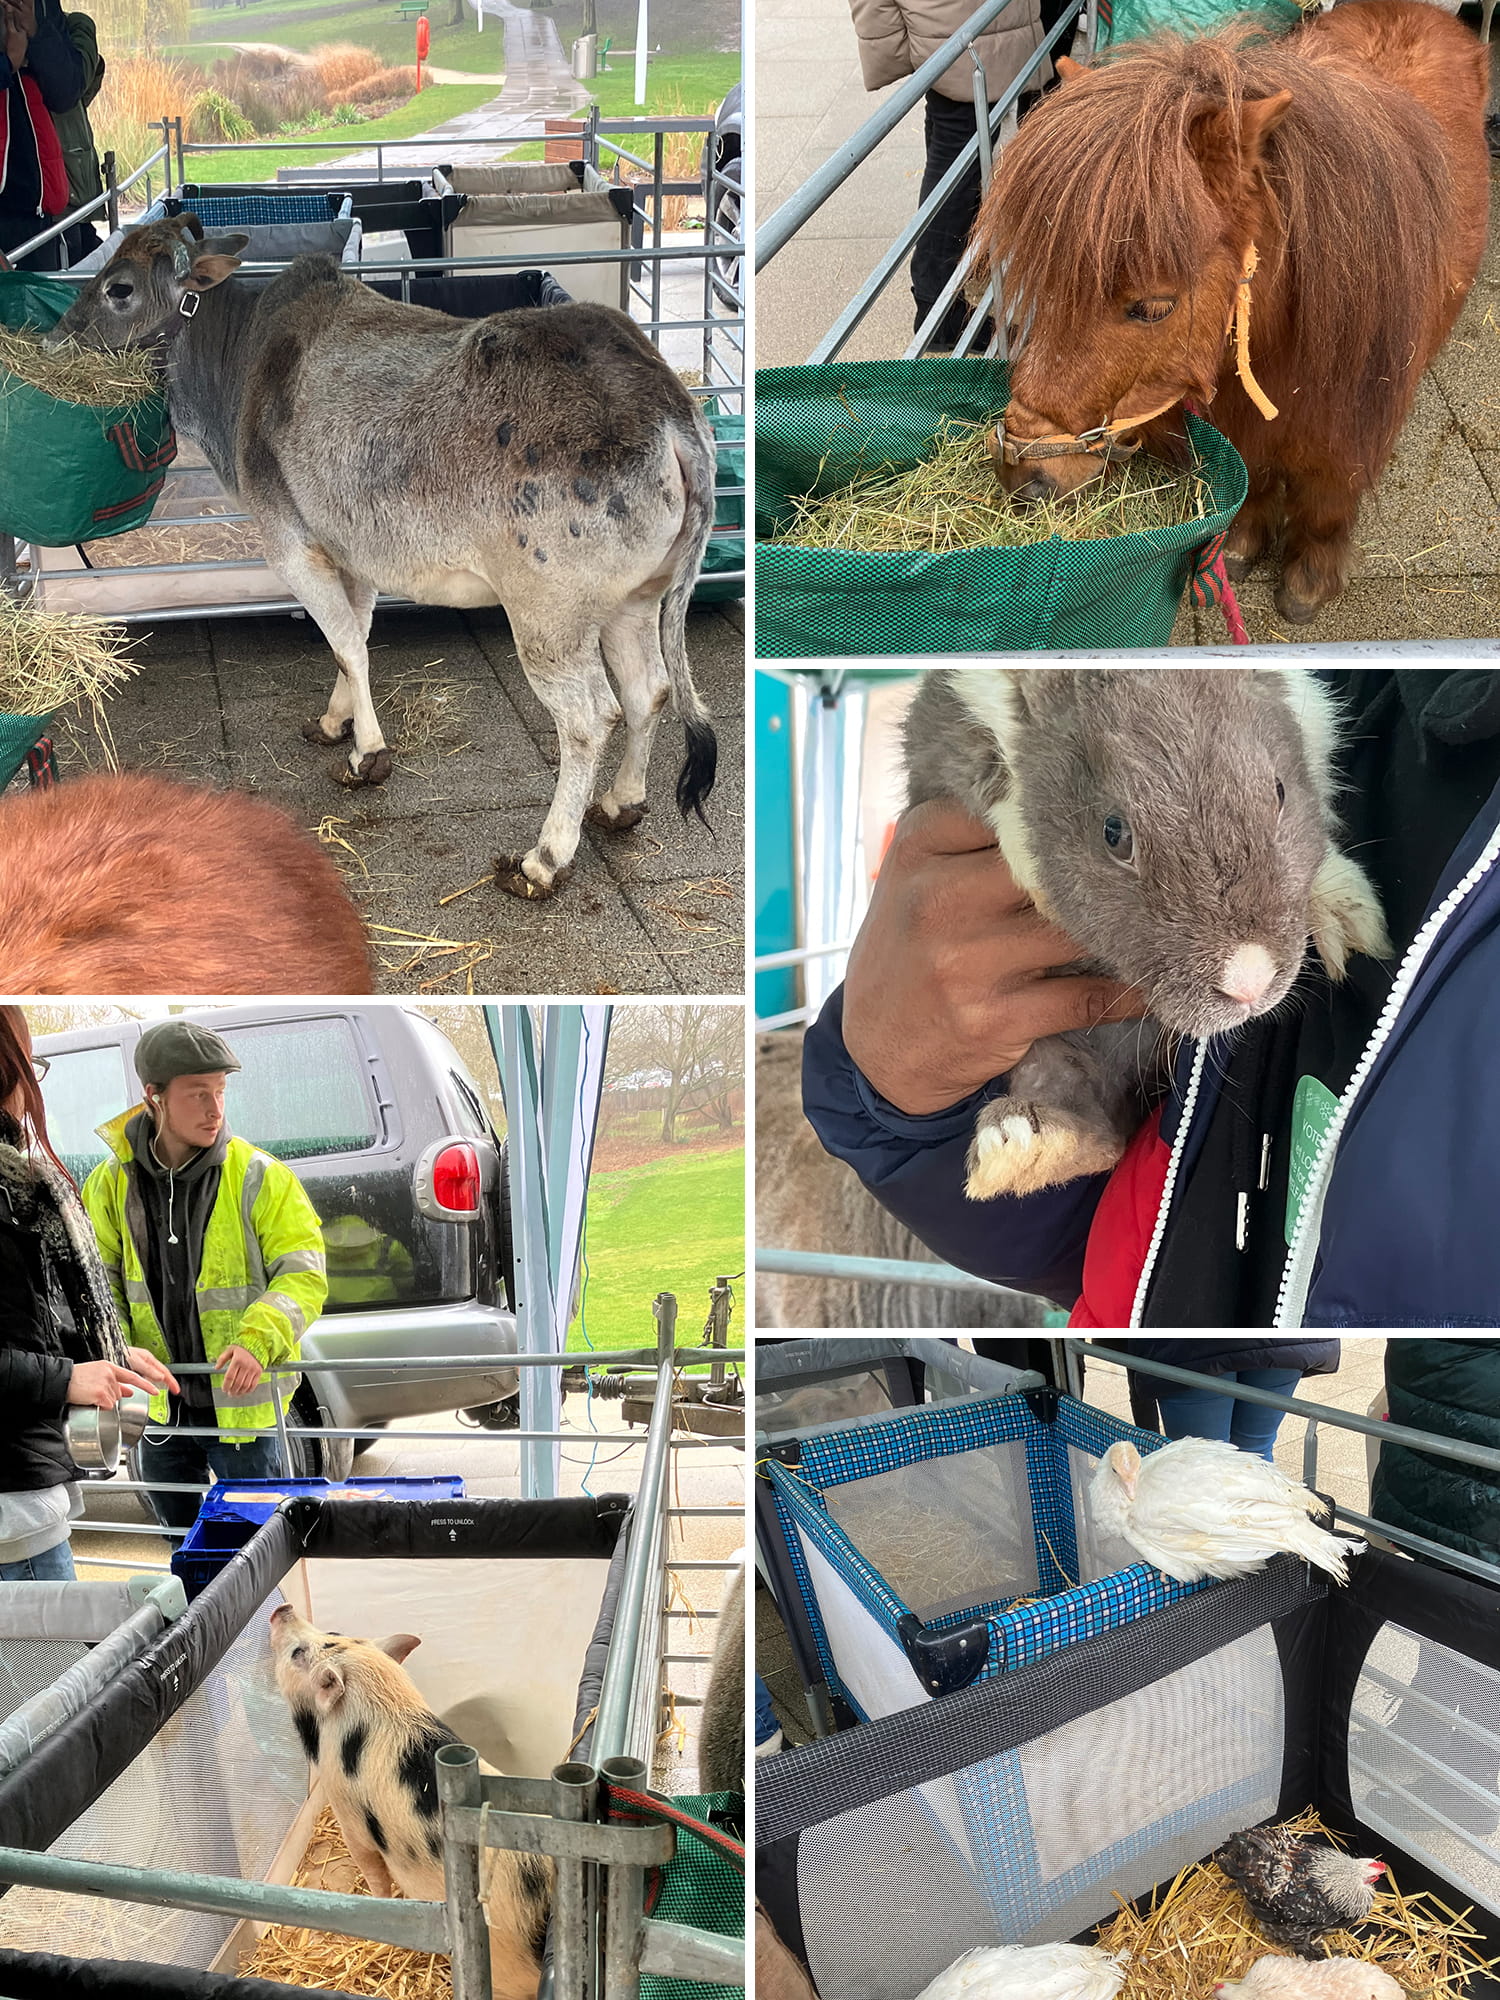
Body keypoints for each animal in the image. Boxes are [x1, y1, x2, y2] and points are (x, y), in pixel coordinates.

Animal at [53, 219, 724, 900]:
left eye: (119, 288)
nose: (58, 337)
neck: (242, 359)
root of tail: (669, 410)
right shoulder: (355, 554)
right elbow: (352, 638)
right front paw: (334, 722)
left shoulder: (291, 545)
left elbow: (348, 644)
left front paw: (366, 755)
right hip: (633, 600)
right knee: (649, 691)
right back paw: (620, 804)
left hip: (549, 621)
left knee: (590, 719)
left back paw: (545, 858)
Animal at [900, 672, 1392, 1200]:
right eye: (1114, 833)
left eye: (1278, 791)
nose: (1250, 982)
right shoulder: (948, 738)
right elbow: (995, 788)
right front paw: (1038, 880)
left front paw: (1347, 915)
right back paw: (1024, 1145)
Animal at [976, 0, 1496, 624]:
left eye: (1153, 307)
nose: (1021, 472)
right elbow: (1254, 479)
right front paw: (1241, 547)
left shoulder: (1347, 434)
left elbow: (1326, 503)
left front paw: (1308, 582)